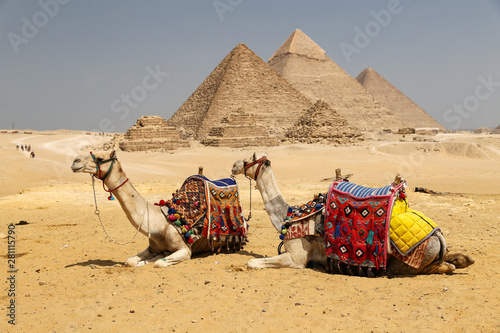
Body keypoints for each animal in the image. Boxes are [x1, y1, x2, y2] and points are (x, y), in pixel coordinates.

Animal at [71, 150, 242, 268]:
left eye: (100, 158)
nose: (75, 161)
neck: (159, 224)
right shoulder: (152, 247)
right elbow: (130, 261)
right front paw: (144, 261)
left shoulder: (185, 250)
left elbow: (159, 263)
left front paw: (157, 259)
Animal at [232, 153, 474, 274]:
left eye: (247, 159)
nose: (233, 166)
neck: (288, 215)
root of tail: (437, 234)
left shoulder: (297, 258)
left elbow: (252, 263)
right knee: (452, 259)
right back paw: (465, 258)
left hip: (408, 262)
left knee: (441, 267)